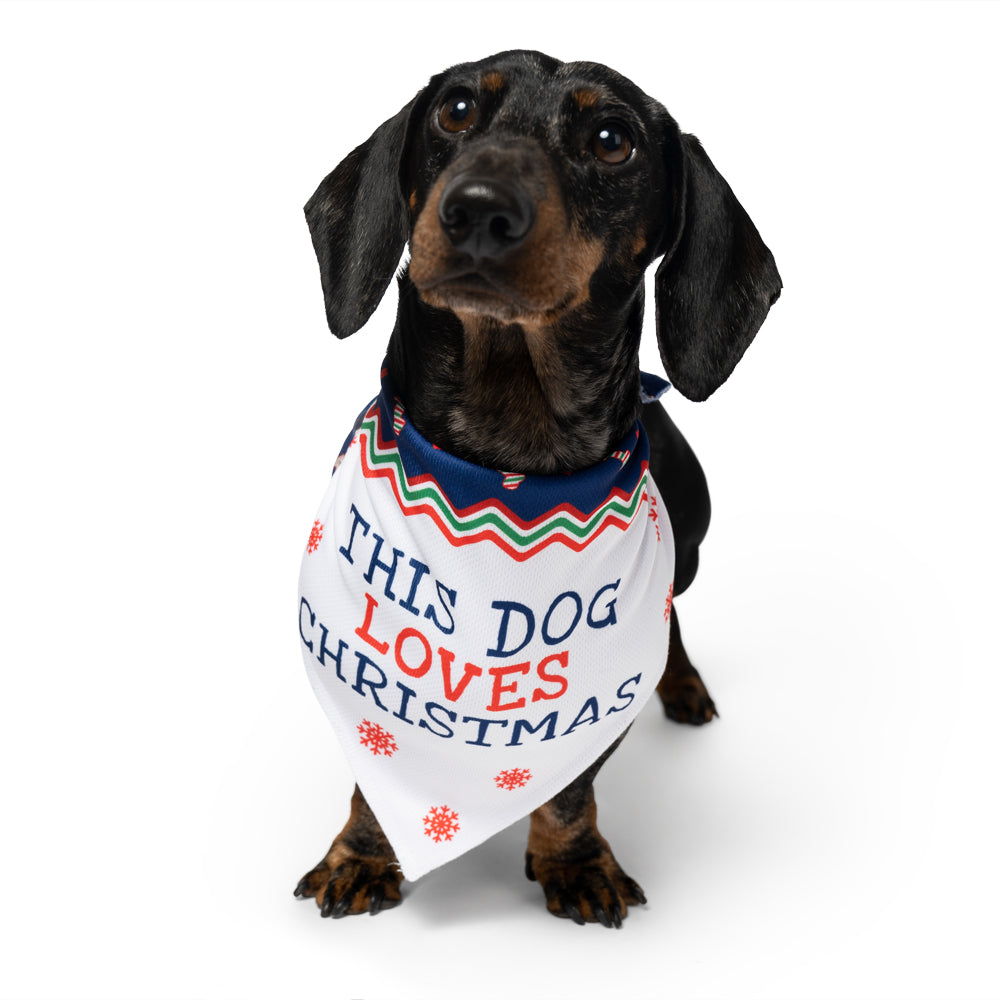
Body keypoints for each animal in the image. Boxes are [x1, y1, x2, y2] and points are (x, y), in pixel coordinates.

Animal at [294, 50, 780, 928]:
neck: (501, 461)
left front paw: (575, 861)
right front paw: (362, 854)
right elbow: (371, 772)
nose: (478, 209)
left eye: (612, 138)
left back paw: (682, 684)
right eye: (455, 109)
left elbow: (570, 787)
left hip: (688, 545)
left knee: (674, 618)